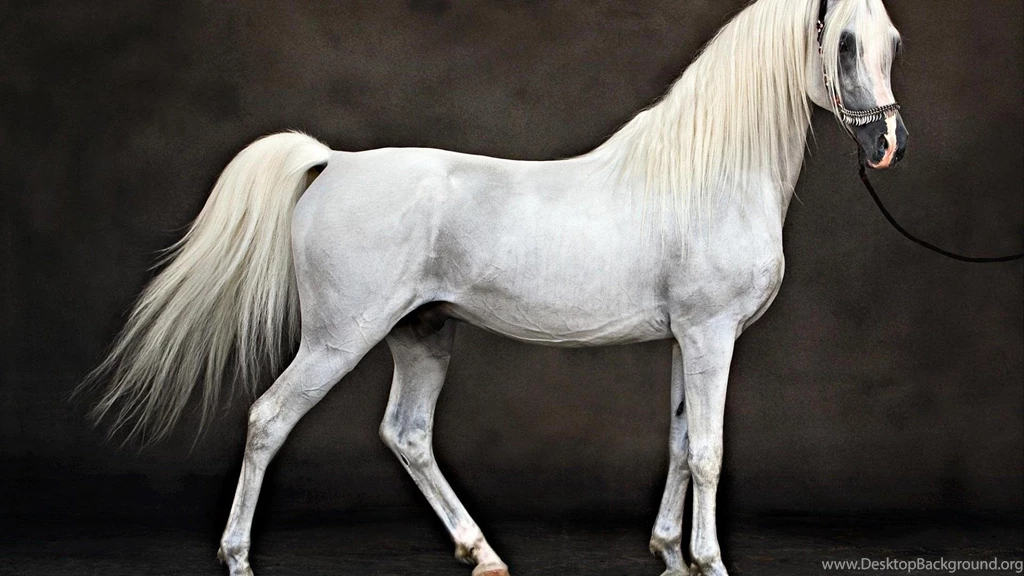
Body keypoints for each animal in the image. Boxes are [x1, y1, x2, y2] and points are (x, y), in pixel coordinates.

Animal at [82, 0, 907, 574]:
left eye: (894, 42)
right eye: (843, 44)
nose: (887, 143)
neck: (706, 175)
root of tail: (334, 162)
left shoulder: (686, 339)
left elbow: (677, 443)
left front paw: (669, 552)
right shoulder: (710, 336)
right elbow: (707, 450)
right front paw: (707, 560)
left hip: (422, 335)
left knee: (407, 433)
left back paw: (481, 552)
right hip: (337, 340)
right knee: (267, 419)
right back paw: (238, 557)